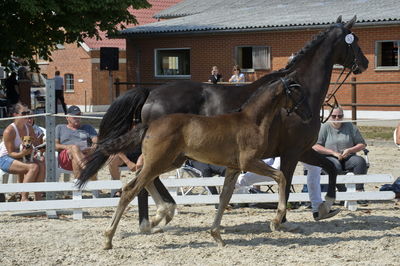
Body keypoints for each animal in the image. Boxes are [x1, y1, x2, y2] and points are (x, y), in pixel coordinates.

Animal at [79, 16, 368, 233]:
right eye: (353, 41)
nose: (364, 63)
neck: (297, 91)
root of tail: (151, 93)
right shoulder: (291, 152)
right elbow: (288, 182)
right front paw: (283, 220)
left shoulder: (304, 150)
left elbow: (329, 168)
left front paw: (324, 208)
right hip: (166, 153)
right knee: (145, 178)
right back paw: (155, 217)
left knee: (145, 176)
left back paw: (155, 217)